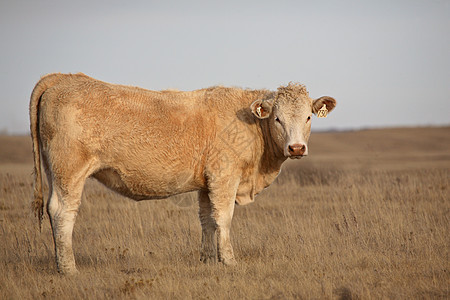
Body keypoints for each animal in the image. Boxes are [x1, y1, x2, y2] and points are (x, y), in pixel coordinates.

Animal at [29, 73, 336, 274]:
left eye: (308, 117)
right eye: (277, 118)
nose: (296, 148)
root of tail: (64, 78)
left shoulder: (206, 183)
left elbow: (207, 220)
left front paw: (207, 260)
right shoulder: (225, 177)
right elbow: (224, 218)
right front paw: (229, 261)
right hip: (69, 170)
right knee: (62, 211)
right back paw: (68, 268)